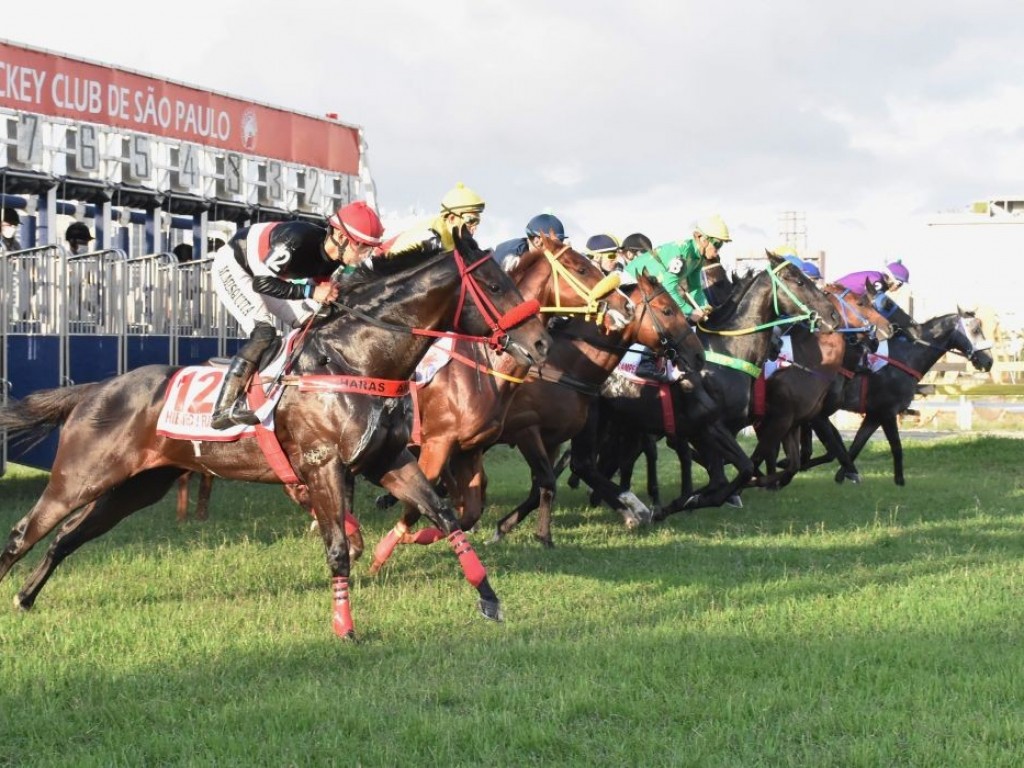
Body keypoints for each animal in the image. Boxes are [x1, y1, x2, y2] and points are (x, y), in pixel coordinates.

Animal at [0, 236, 552, 643]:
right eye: (495, 283)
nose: (543, 342)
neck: (354, 359)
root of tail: (95, 389)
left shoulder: (387, 459)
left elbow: (443, 513)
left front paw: (489, 598)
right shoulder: (322, 467)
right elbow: (338, 548)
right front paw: (344, 627)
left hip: (135, 487)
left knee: (67, 538)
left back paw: (26, 597)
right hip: (79, 477)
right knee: (25, 531)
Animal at [798, 309, 991, 483]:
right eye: (975, 330)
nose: (989, 361)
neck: (906, 357)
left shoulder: (874, 415)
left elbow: (856, 445)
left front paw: (842, 474)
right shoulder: (887, 412)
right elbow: (896, 447)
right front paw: (899, 481)